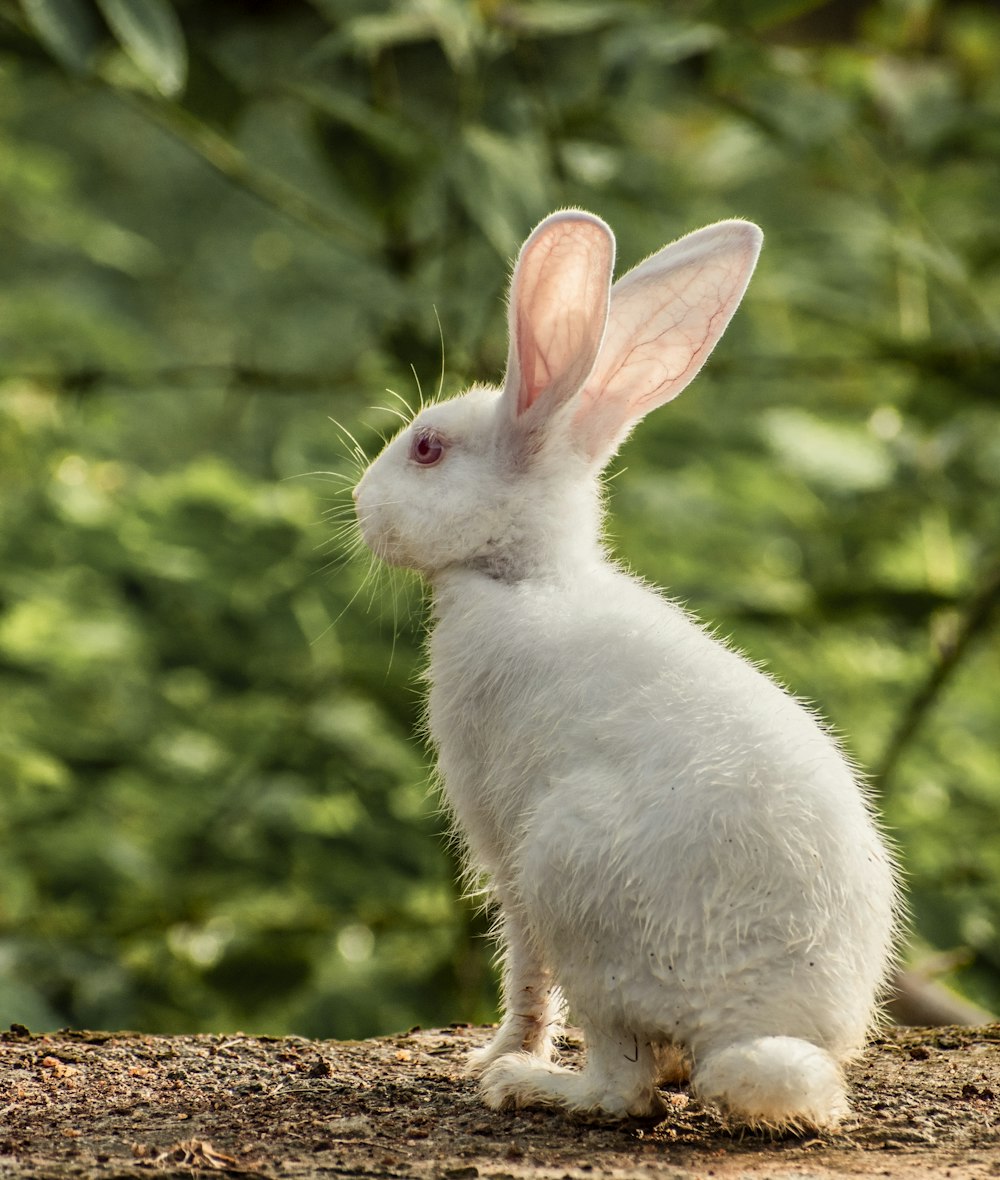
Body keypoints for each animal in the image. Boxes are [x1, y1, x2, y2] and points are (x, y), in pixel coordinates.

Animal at [358, 207, 897, 1128]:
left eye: (426, 450)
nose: (360, 505)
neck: (524, 573)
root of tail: (748, 1029)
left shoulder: (502, 845)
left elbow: (524, 972)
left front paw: (492, 1057)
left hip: (570, 873)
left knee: (623, 1087)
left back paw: (532, 1085)